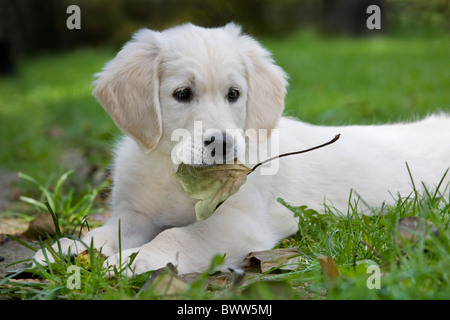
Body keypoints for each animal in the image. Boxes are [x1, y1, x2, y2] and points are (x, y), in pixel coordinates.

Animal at [32, 23, 450, 276]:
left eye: (234, 94)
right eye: (182, 94)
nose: (222, 143)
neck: (177, 173)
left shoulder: (238, 221)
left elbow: (175, 236)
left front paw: (133, 260)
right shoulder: (135, 213)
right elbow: (106, 232)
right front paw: (68, 247)